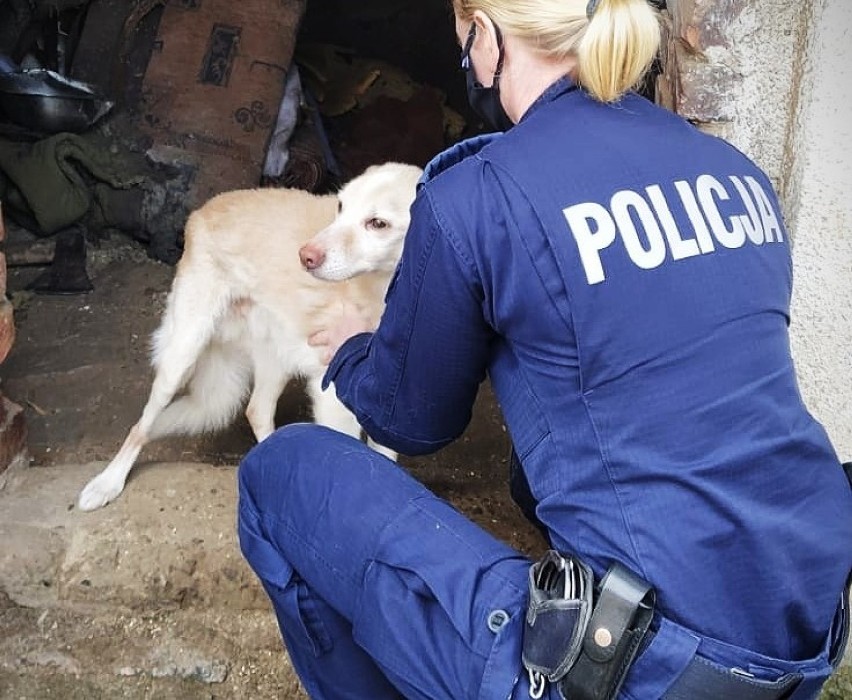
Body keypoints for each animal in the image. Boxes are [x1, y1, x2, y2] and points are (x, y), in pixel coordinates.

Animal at [78, 162, 424, 512]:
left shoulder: (388, 408)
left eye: (378, 223)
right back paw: (107, 483)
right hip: (183, 352)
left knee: (256, 411)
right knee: (142, 425)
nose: (305, 256)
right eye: (340, 207)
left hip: (277, 356)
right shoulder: (333, 397)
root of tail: (204, 209)